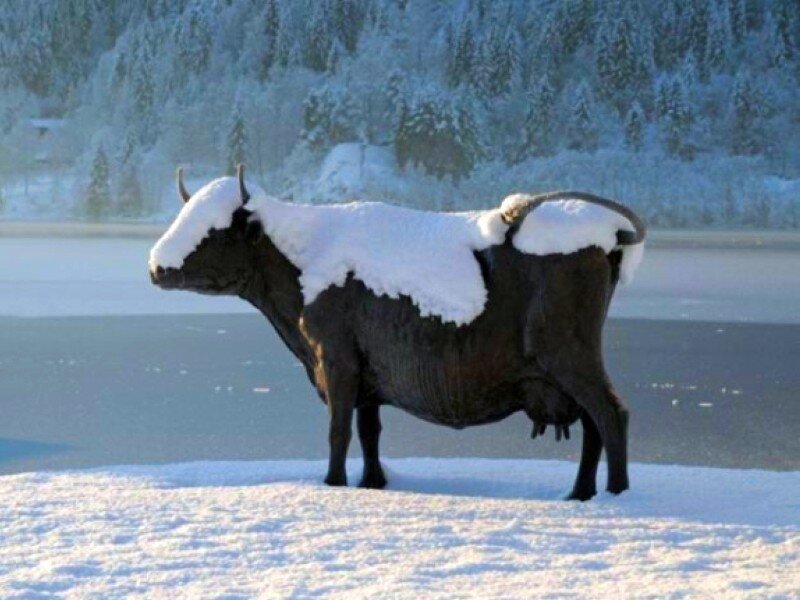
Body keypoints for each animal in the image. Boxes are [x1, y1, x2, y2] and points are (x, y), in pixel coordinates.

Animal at [149, 165, 646, 500]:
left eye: (213, 231)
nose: (156, 265)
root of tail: (608, 233)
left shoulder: (336, 359)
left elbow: (338, 431)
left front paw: (332, 483)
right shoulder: (368, 373)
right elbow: (370, 431)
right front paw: (373, 482)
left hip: (569, 355)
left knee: (611, 414)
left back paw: (616, 495)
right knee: (593, 423)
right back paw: (579, 494)